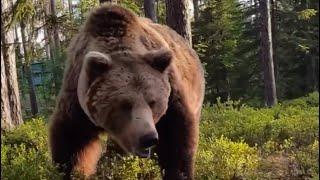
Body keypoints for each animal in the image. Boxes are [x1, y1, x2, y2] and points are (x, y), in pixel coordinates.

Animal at [50, 3, 205, 179]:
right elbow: (72, 142)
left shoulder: (172, 95)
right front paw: (72, 171)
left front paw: (178, 173)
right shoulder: (76, 97)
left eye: (153, 102)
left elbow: (176, 140)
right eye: (124, 104)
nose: (148, 138)